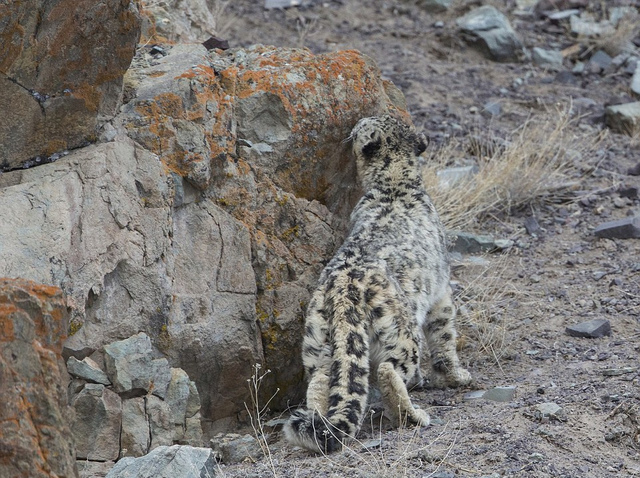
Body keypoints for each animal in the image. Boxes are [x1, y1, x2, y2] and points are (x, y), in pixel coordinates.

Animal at [284, 114, 470, 454]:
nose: (354, 125)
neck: (394, 182)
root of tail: (343, 291)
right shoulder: (441, 292)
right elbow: (445, 335)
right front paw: (455, 375)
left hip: (317, 340)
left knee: (321, 379)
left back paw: (315, 426)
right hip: (400, 333)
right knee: (388, 369)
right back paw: (414, 415)